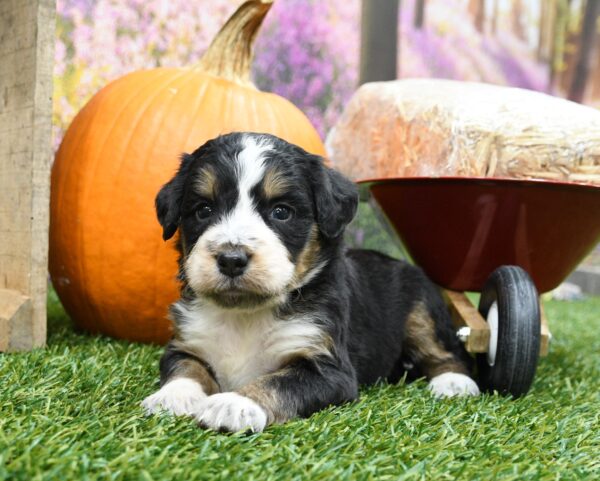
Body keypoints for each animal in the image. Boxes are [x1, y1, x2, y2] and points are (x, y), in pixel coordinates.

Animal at [141, 132, 479, 433]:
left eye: (281, 212)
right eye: (204, 210)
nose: (231, 259)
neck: (245, 315)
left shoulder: (329, 369)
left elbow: (279, 382)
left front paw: (235, 404)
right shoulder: (187, 342)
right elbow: (186, 368)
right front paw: (173, 397)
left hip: (421, 309)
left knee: (445, 351)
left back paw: (454, 383)